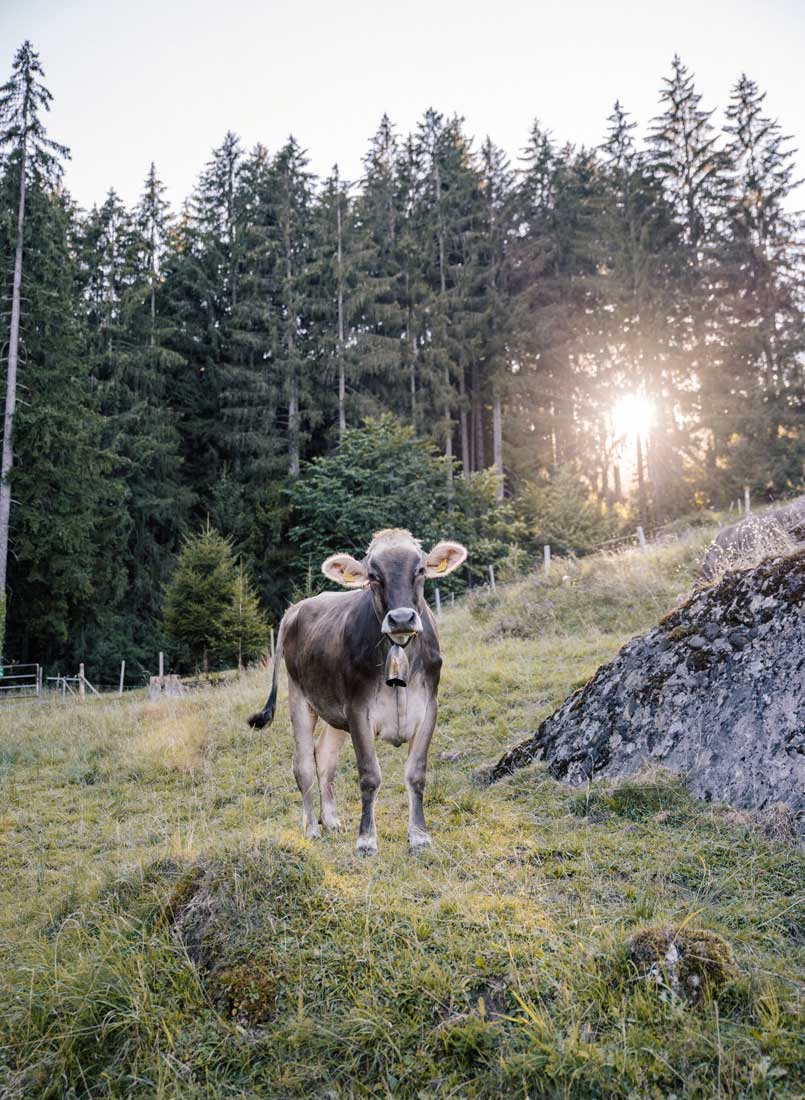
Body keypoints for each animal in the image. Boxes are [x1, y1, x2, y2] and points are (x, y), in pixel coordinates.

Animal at [248, 529, 468, 854]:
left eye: (420, 570)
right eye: (373, 576)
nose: (401, 618)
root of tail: (294, 609)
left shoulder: (428, 708)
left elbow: (416, 773)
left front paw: (419, 835)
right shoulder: (358, 710)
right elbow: (369, 776)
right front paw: (366, 840)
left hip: (335, 713)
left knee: (325, 758)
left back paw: (331, 820)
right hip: (299, 696)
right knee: (303, 765)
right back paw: (312, 827)